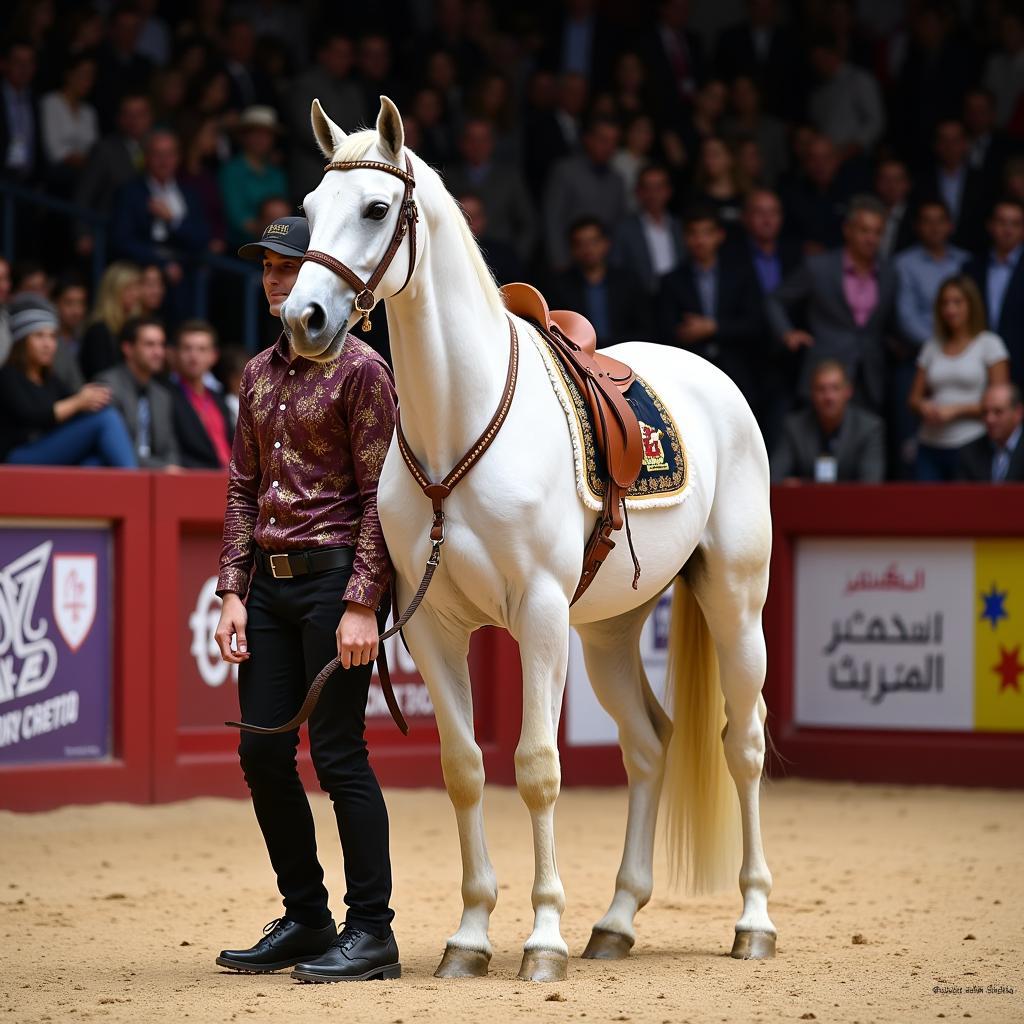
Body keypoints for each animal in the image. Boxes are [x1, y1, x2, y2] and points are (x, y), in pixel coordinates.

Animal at [282, 97, 774, 983]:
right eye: (307, 208)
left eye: (375, 208)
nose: (303, 321)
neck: (460, 427)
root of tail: (715, 379)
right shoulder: (436, 631)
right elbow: (466, 770)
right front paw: (470, 937)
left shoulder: (540, 617)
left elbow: (539, 768)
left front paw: (542, 940)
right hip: (609, 631)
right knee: (648, 744)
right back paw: (615, 921)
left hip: (733, 602)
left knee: (742, 743)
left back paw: (753, 922)